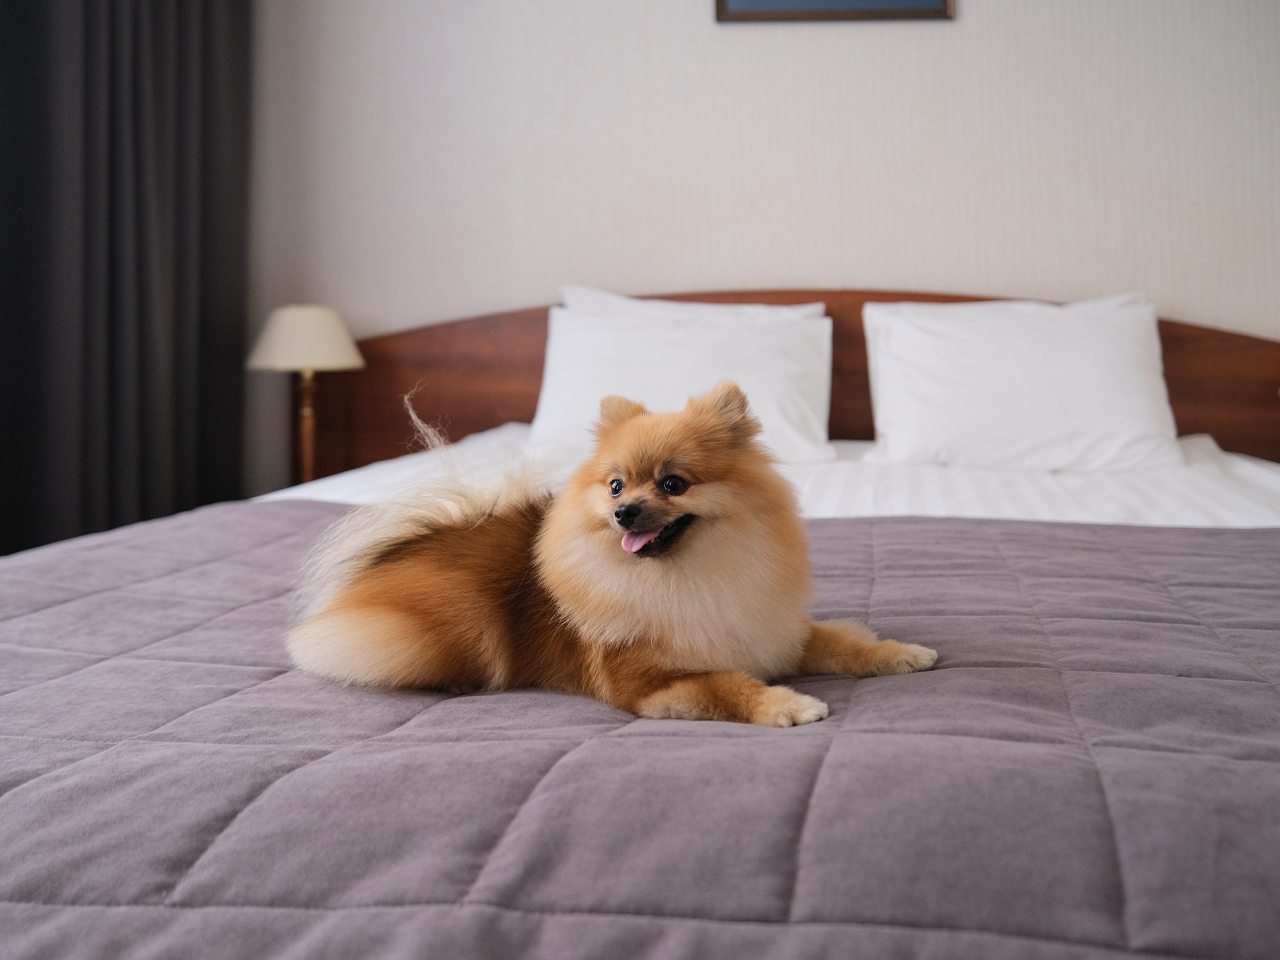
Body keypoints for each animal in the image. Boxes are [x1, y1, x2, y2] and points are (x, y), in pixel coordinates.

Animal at [288, 382, 936, 726]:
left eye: (673, 483)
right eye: (617, 486)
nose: (625, 513)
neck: (695, 574)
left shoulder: (773, 630)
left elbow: (844, 642)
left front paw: (900, 653)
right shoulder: (645, 683)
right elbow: (727, 683)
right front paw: (788, 703)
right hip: (453, 622)